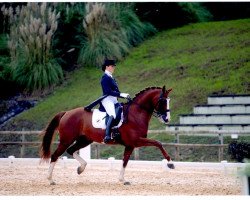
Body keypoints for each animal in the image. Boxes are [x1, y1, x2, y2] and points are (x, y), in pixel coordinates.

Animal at [40, 85, 175, 185]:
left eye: (169, 101)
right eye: (163, 101)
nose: (167, 119)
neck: (136, 114)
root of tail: (66, 113)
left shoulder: (130, 145)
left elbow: (125, 161)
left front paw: (122, 180)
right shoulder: (136, 141)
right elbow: (158, 143)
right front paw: (170, 163)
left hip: (84, 140)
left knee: (71, 150)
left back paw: (81, 168)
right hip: (66, 140)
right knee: (55, 155)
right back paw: (50, 180)